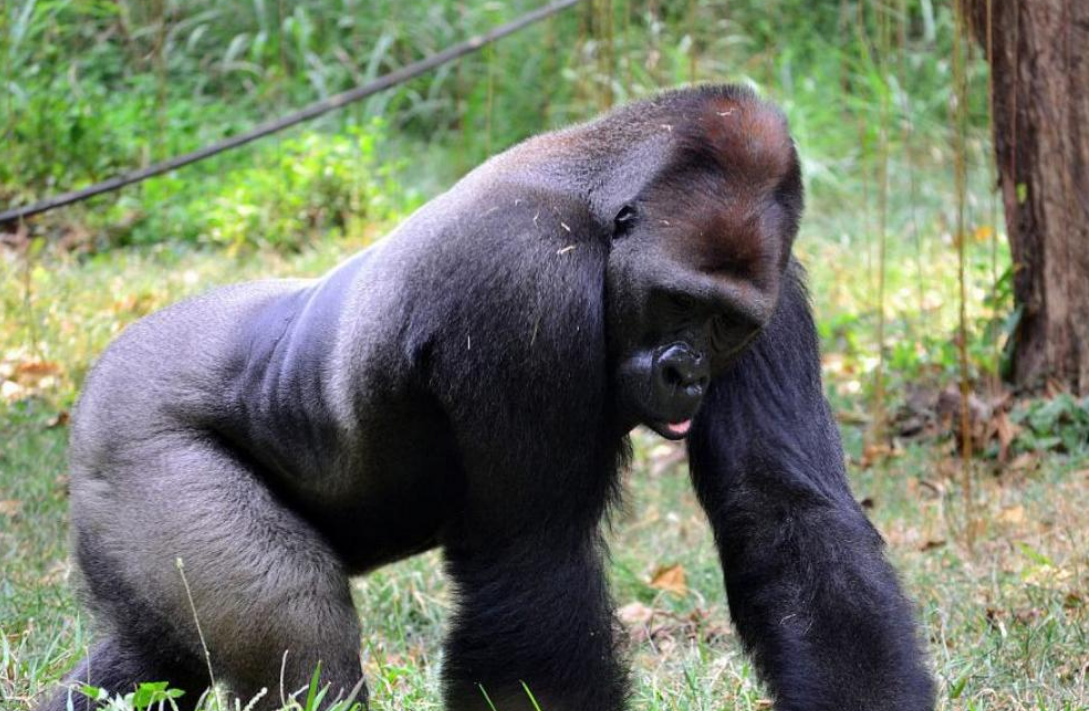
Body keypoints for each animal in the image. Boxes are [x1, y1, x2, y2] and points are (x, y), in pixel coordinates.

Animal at [42, 84, 936, 709]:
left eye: (724, 322)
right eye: (676, 301)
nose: (687, 372)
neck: (591, 206)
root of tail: (107, 364)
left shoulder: (776, 298)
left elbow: (786, 516)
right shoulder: (522, 283)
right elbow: (535, 562)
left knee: (154, 654)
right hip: (135, 433)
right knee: (297, 636)